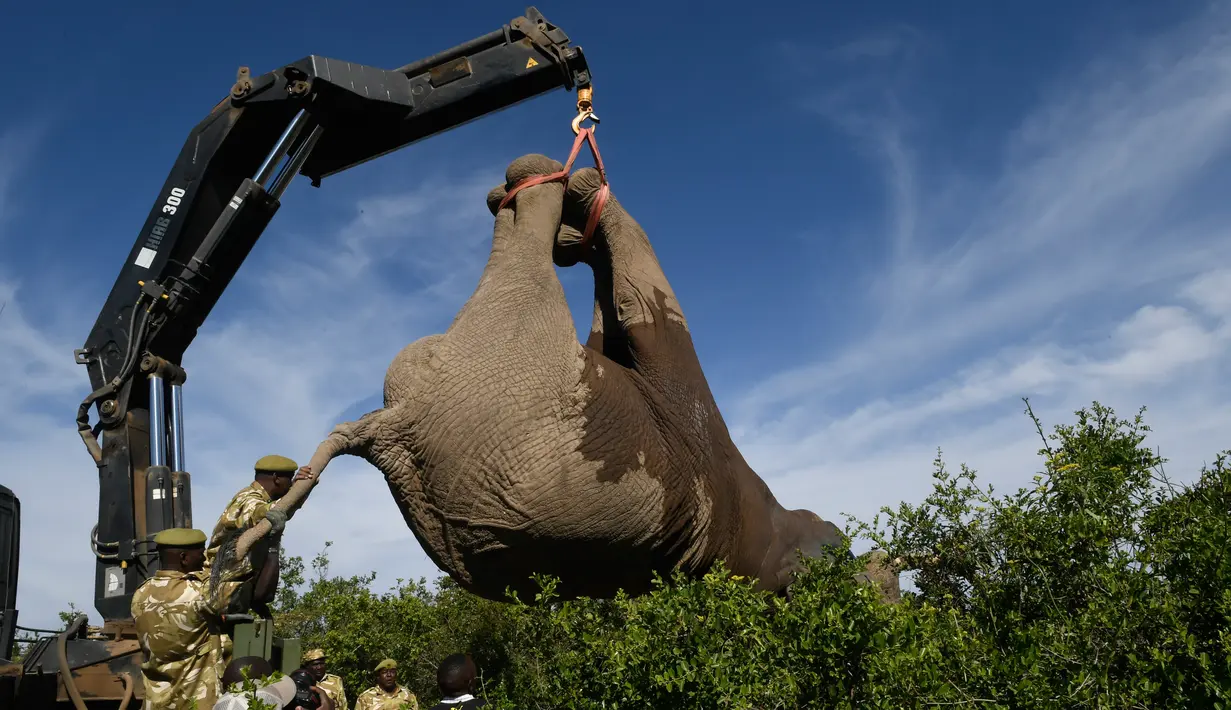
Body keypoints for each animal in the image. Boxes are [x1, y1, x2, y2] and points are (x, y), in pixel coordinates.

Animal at [235, 155, 901, 602]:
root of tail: (397, 423)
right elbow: (621, 315)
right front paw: (583, 230)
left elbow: (643, 300)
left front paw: (583, 206)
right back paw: (543, 193)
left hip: (519, 381)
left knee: (531, 254)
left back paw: (539, 184)